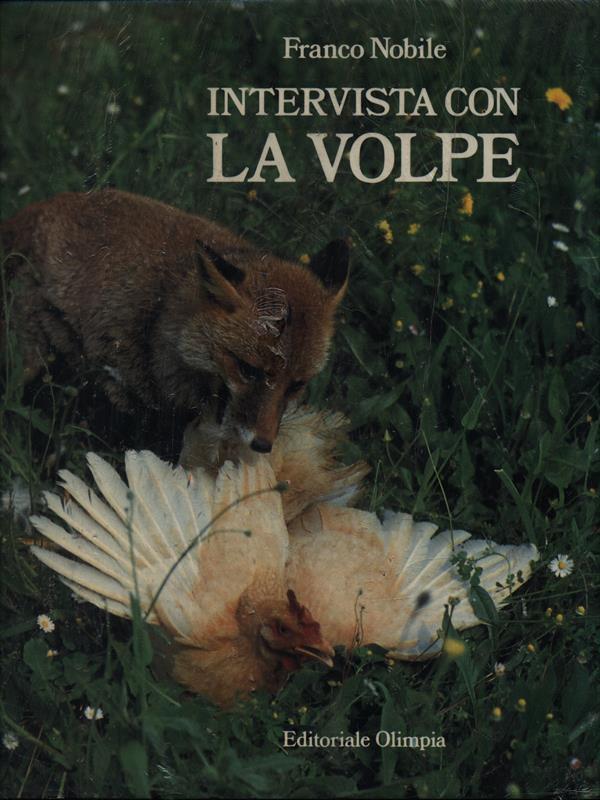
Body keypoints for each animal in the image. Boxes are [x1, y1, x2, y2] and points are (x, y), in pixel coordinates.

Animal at [1, 189, 349, 456]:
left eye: (297, 385)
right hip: (34, 363)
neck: (166, 312)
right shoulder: (132, 394)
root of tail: (38, 208)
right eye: (248, 369)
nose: (262, 445)